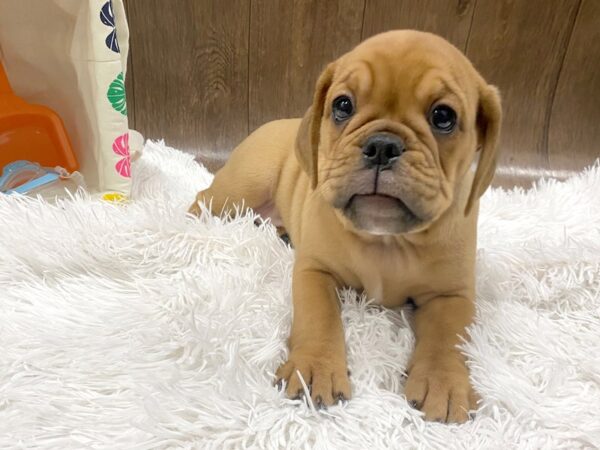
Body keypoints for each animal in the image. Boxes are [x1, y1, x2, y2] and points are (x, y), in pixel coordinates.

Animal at [190, 29, 500, 424]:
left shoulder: (451, 294)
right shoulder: (315, 271)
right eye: (342, 105)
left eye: (443, 116)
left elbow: (450, 338)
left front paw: (444, 383)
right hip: (242, 187)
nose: (382, 146)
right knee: (204, 198)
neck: (389, 241)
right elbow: (319, 316)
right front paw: (315, 369)